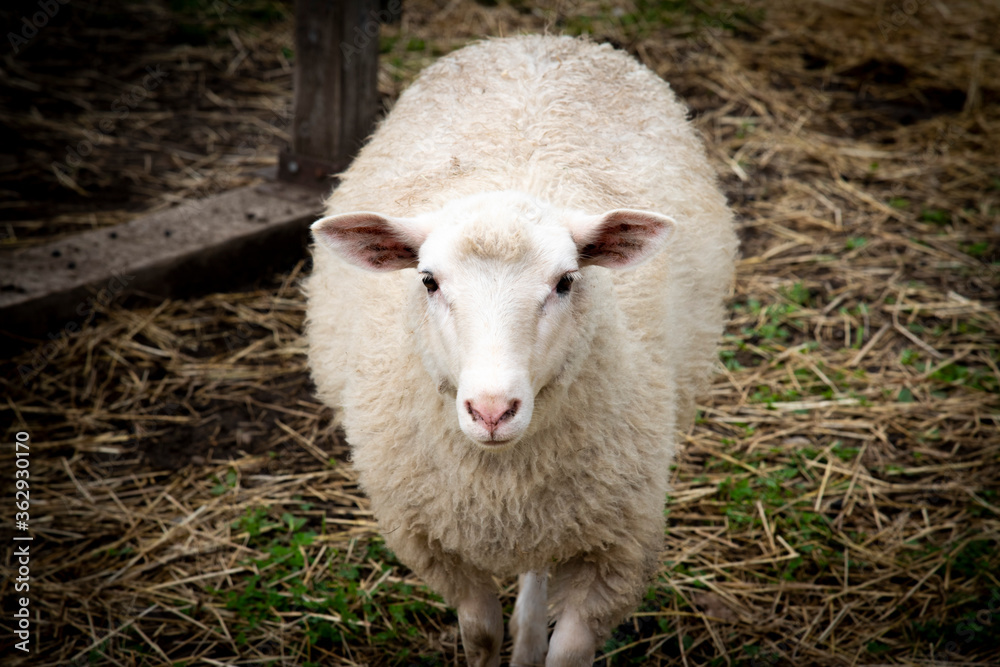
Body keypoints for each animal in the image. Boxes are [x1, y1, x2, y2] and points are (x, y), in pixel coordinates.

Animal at [304, 35, 737, 666]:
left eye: (565, 281)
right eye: (428, 280)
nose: (491, 411)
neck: (498, 480)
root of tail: (544, 40)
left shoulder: (616, 549)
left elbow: (568, 651)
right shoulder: (436, 544)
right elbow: (480, 632)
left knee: (536, 568)